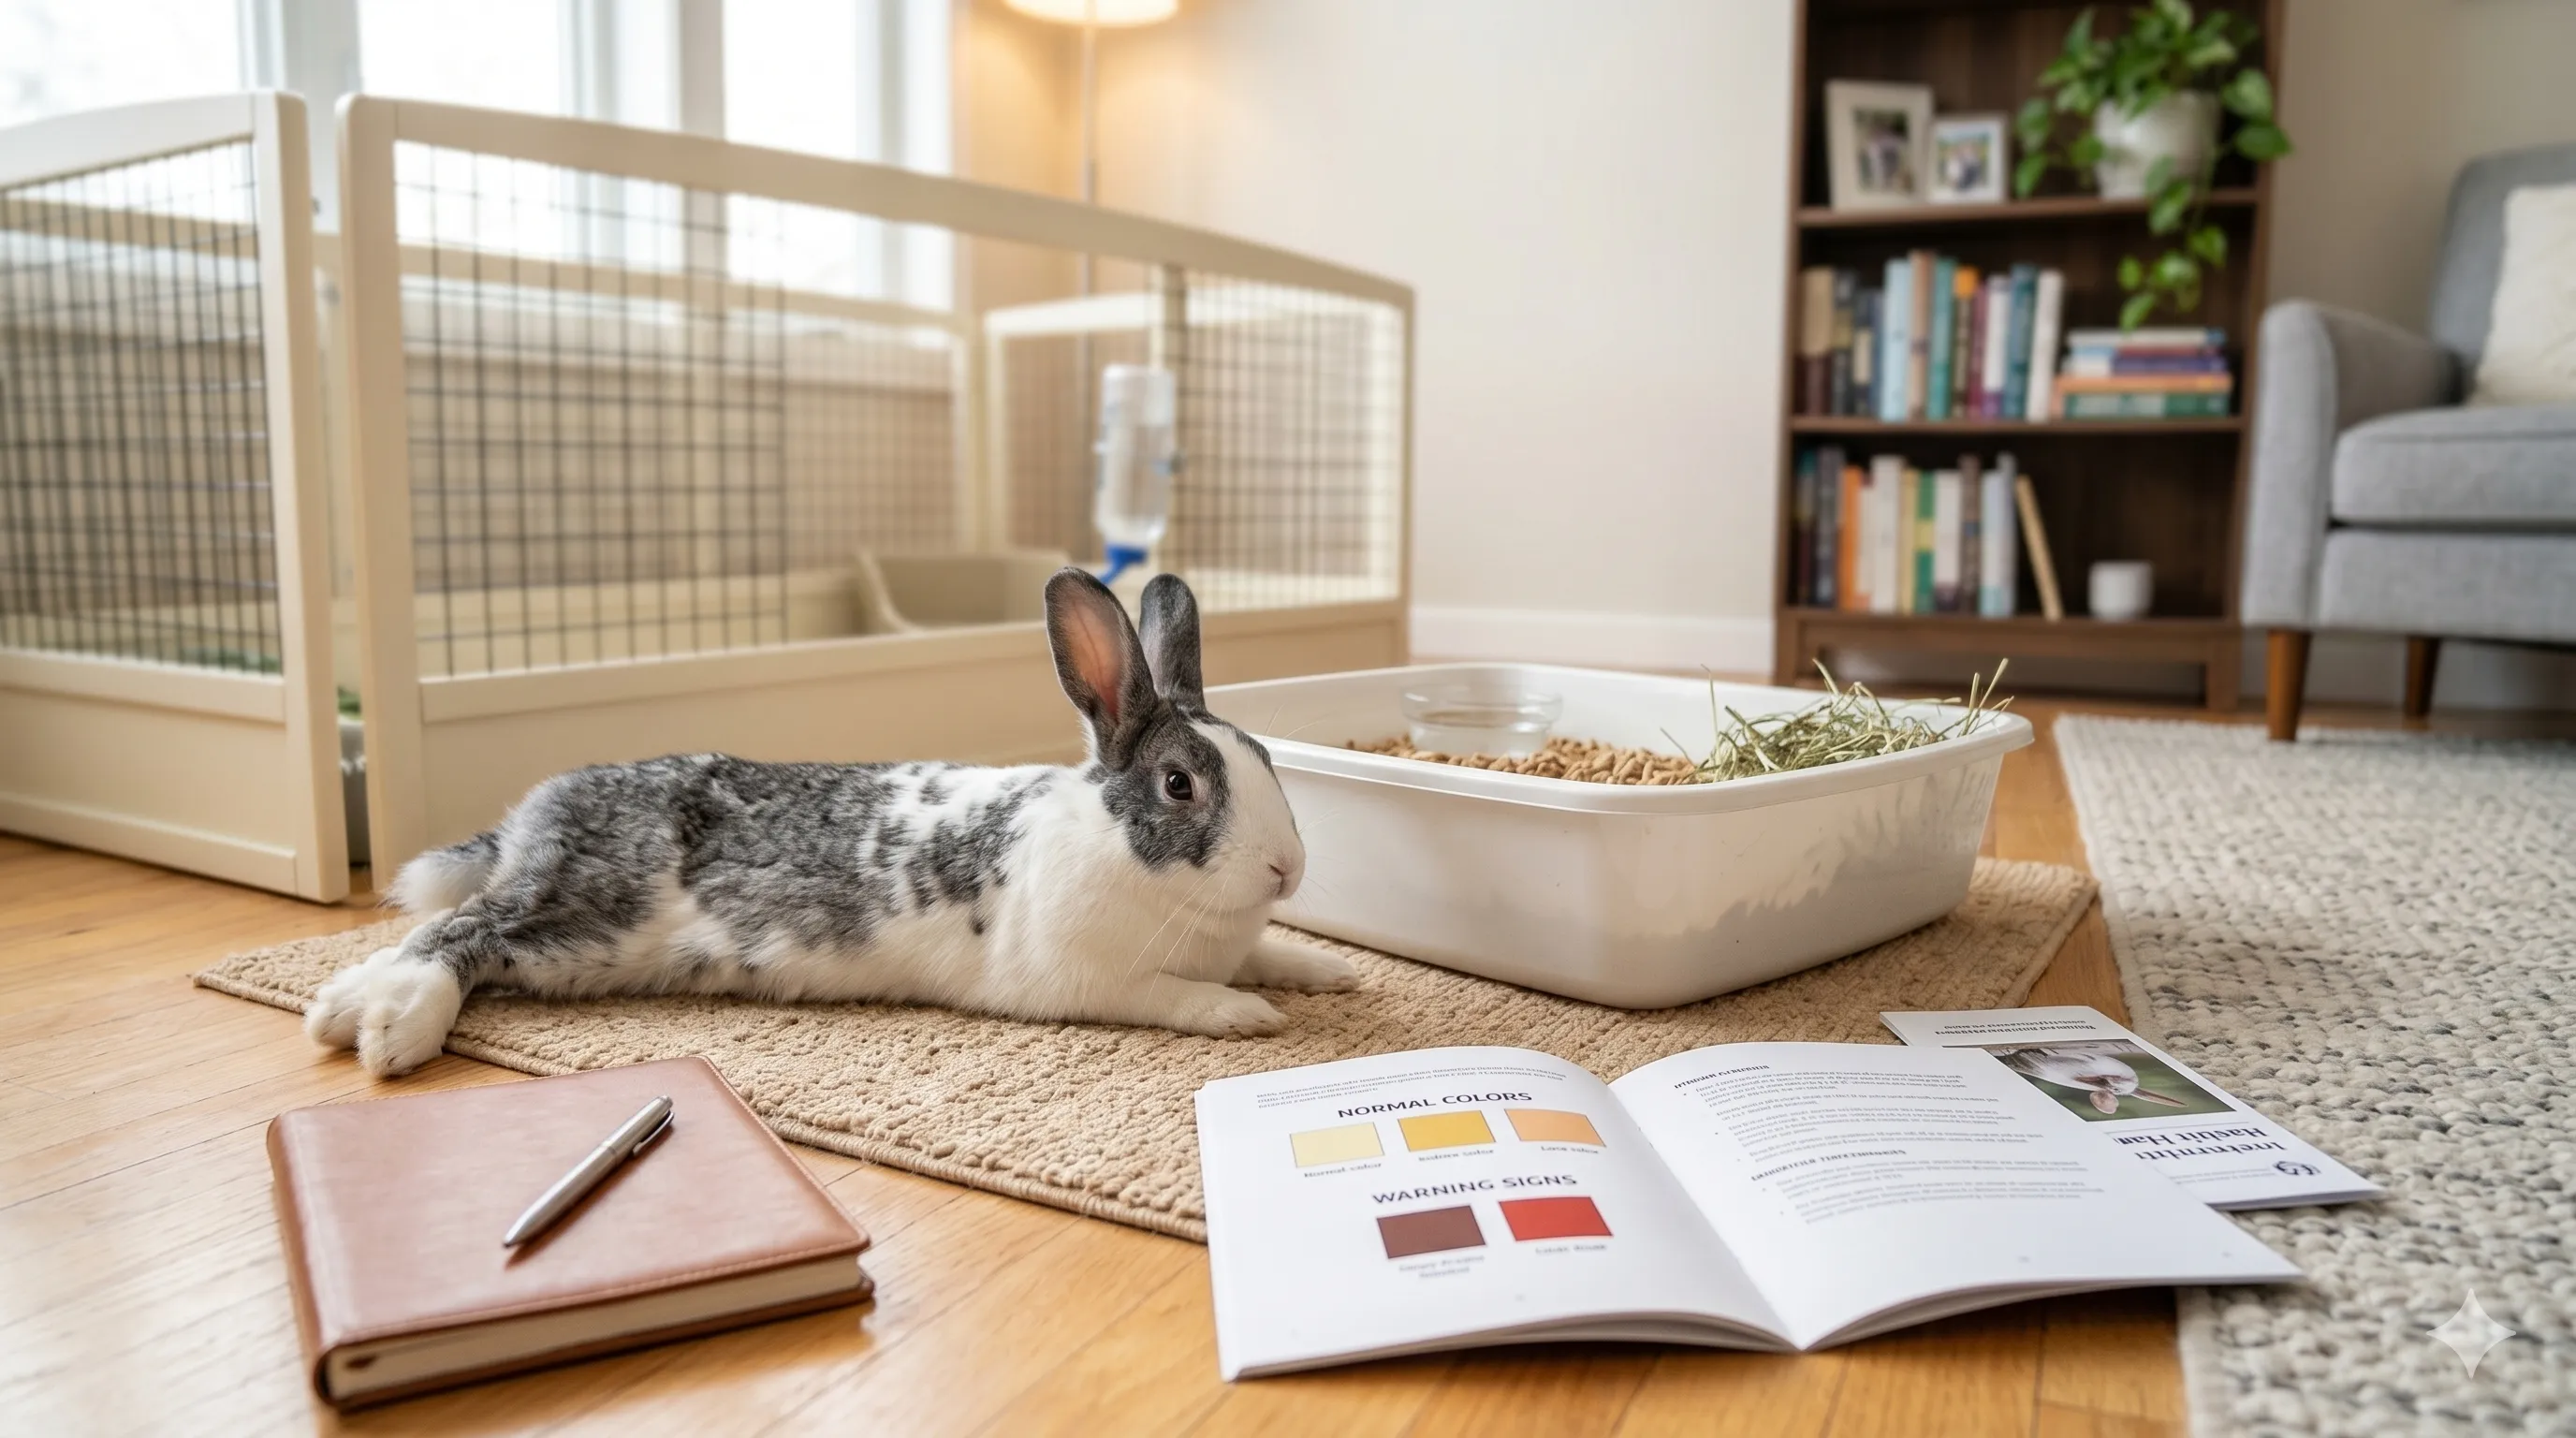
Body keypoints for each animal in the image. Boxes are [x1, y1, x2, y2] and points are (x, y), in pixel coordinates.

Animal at [306, 569, 1359, 1078]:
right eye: (1179, 785)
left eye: (1264, 758)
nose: (1287, 870)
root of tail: (536, 811)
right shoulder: (1088, 983)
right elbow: (1176, 998)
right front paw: (1245, 1015)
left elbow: (1272, 955)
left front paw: (1327, 972)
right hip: (587, 913)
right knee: (457, 932)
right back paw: (387, 1025)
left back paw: (348, 1007)